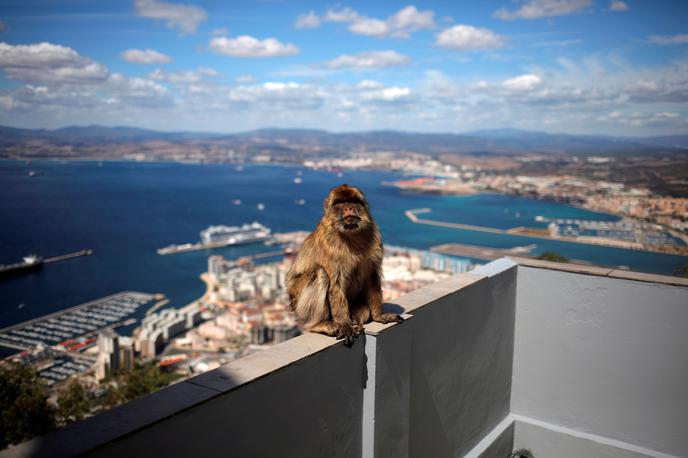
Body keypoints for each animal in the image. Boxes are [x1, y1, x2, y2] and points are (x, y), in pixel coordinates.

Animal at [284, 182, 404, 344]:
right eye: (340, 203)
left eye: (353, 201)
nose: (348, 208)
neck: (351, 235)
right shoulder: (329, 245)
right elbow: (336, 283)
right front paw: (345, 325)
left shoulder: (374, 236)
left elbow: (371, 277)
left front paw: (378, 316)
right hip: (298, 303)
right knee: (320, 272)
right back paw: (318, 324)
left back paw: (356, 320)